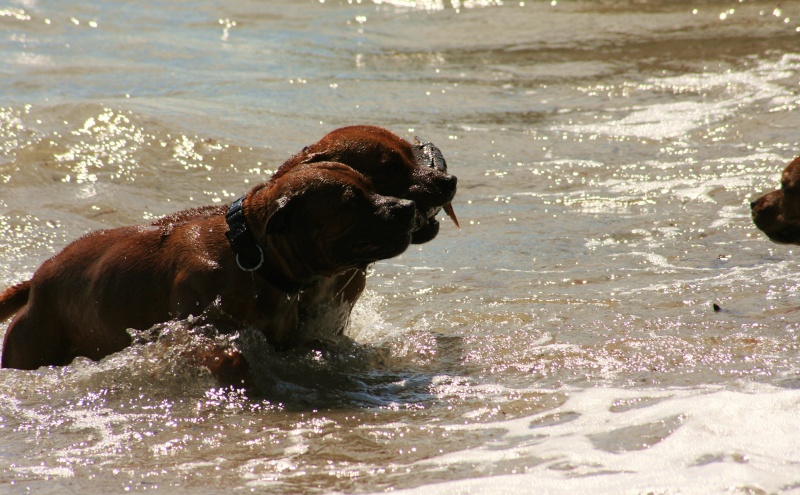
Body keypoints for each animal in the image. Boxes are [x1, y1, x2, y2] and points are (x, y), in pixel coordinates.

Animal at [0, 164, 412, 372]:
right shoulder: (199, 328)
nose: (407, 207)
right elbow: (228, 355)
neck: (251, 256)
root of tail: (37, 280)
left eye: (372, 186)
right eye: (351, 202)